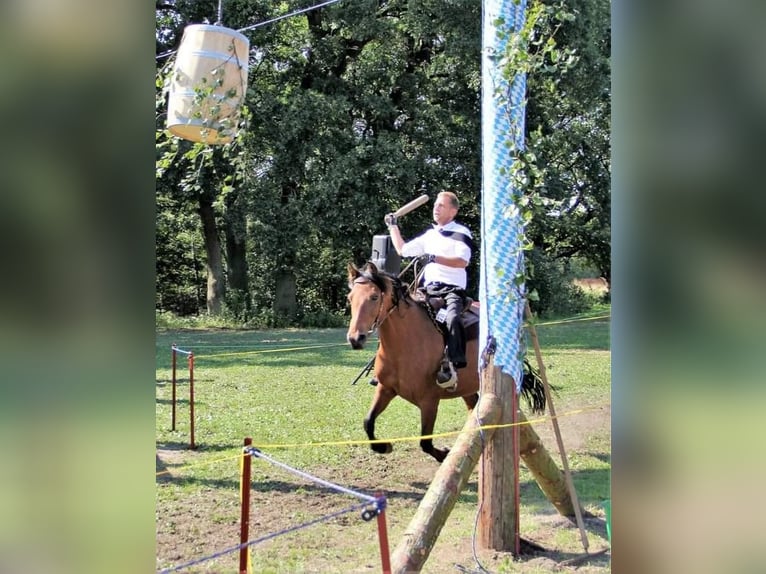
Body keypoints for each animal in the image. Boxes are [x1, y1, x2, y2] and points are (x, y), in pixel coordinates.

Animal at [346, 260, 480, 464]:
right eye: (350, 298)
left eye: (374, 297)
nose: (355, 339)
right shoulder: (385, 389)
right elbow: (368, 422)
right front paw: (383, 446)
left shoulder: (429, 402)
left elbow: (425, 442)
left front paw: (444, 454)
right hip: (467, 388)